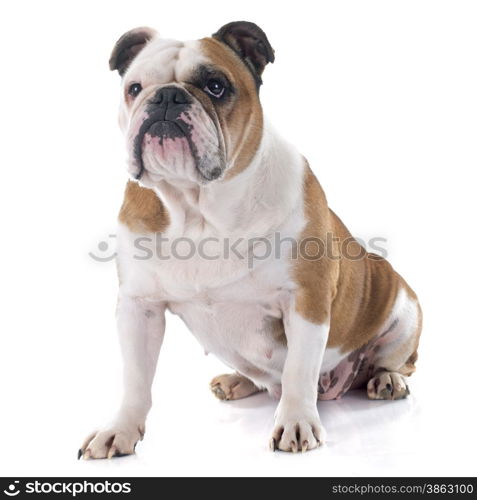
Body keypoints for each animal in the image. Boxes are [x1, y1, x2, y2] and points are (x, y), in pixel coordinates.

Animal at [78, 20, 420, 458]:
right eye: (134, 88)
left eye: (216, 86)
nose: (167, 96)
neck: (198, 209)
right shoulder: (139, 307)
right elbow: (135, 378)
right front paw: (119, 429)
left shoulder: (306, 300)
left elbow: (298, 371)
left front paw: (296, 422)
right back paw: (236, 381)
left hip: (405, 313)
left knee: (394, 362)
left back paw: (387, 380)